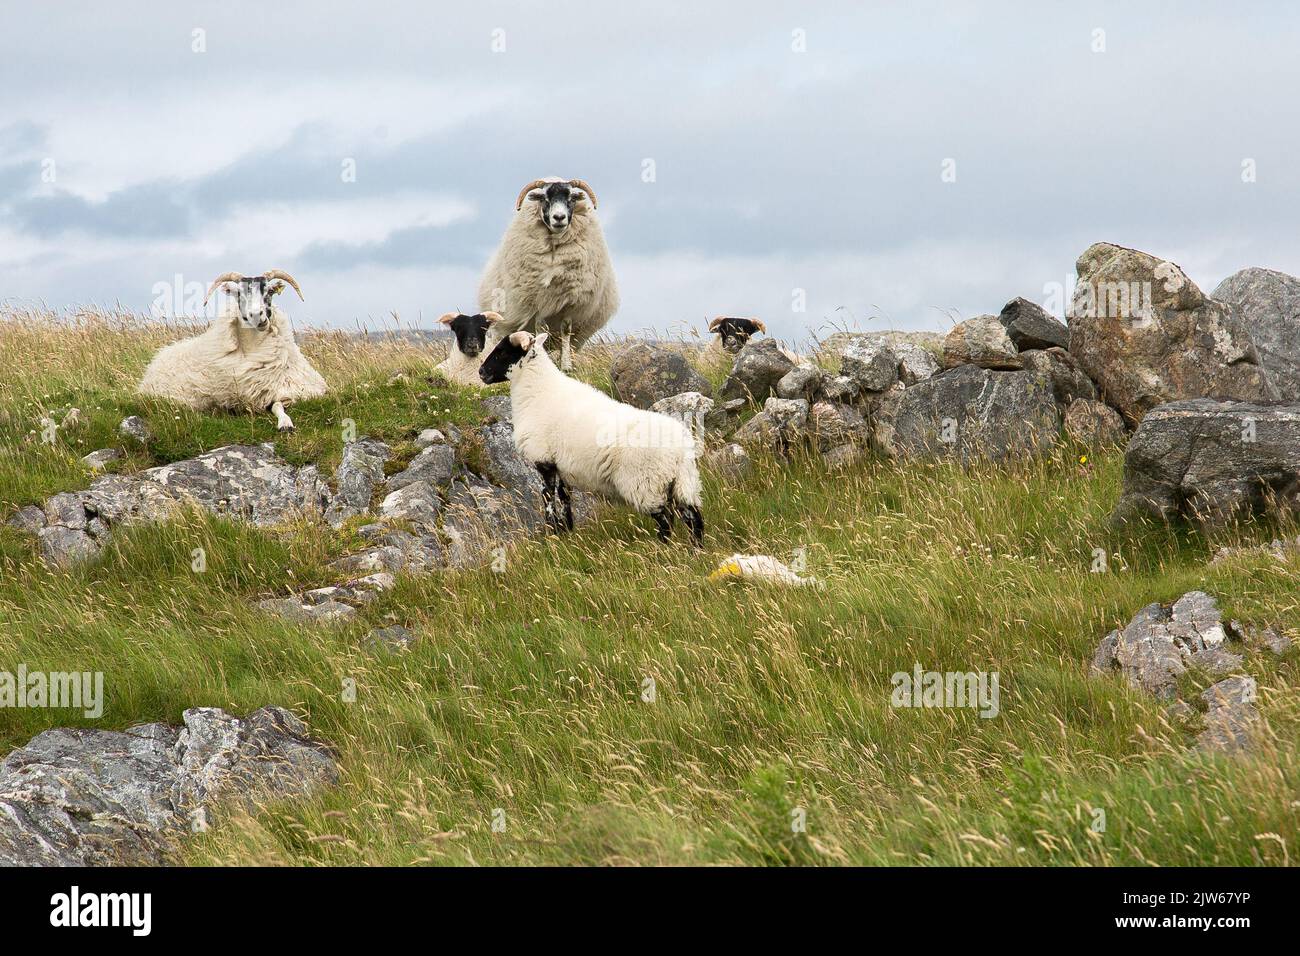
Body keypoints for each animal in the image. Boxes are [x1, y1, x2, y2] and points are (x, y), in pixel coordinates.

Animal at [138, 270, 325, 432]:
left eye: (270, 291)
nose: (256, 315)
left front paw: (285, 424)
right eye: (239, 294)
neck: (252, 350)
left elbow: (278, 404)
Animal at [477, 177, 619, 372]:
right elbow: (540, 330)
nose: (559, 217)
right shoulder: (538, 302)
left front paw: (566, 365)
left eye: (571, 198)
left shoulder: (570, 301)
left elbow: (566, 330)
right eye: (544, 198)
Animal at [478, 330, 704, 545]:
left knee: (666, 520)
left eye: (502, 351)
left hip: (645, 483)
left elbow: (548, 498)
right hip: (682, 482)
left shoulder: (544, 460)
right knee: (693, 517)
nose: (481, 372)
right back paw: (695, 550)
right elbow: (565, 497)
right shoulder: (562, 465)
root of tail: (681, 450)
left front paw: (552, 534)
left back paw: (664, 548)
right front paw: (567, 531)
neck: (537, 391)